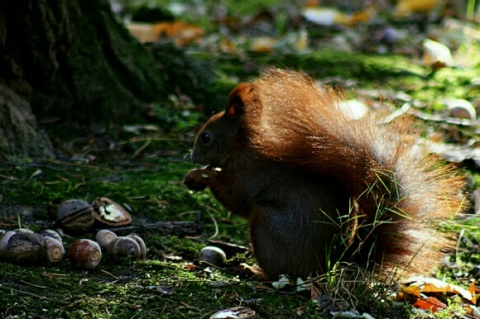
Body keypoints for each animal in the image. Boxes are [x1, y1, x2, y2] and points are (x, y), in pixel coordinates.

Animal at [183, 68, 464, 280]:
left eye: (205, 137)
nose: (193, 156)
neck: (240, 146)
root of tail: (331, 264)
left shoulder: (247, 173)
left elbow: (234, 197)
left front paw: (199, 176)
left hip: (268, 222)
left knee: (281, 275)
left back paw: (254, 270)